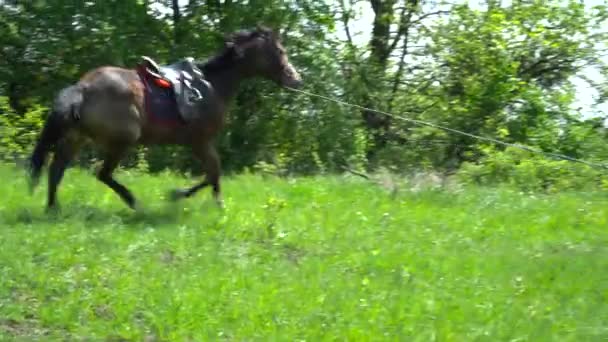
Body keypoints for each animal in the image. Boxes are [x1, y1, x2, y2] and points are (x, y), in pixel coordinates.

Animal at [27, 26, 302, 210]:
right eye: (280, 51)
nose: (296, 79)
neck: (212, 85)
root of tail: (82, 88)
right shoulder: (200, 142)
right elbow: (214, 173)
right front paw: (196, 199)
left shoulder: (198, 143)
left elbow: (212, 174)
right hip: (122, 140)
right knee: (101, 174)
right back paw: (133, 202)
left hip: (76, 138)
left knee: (56, 169)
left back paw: (52, 208)